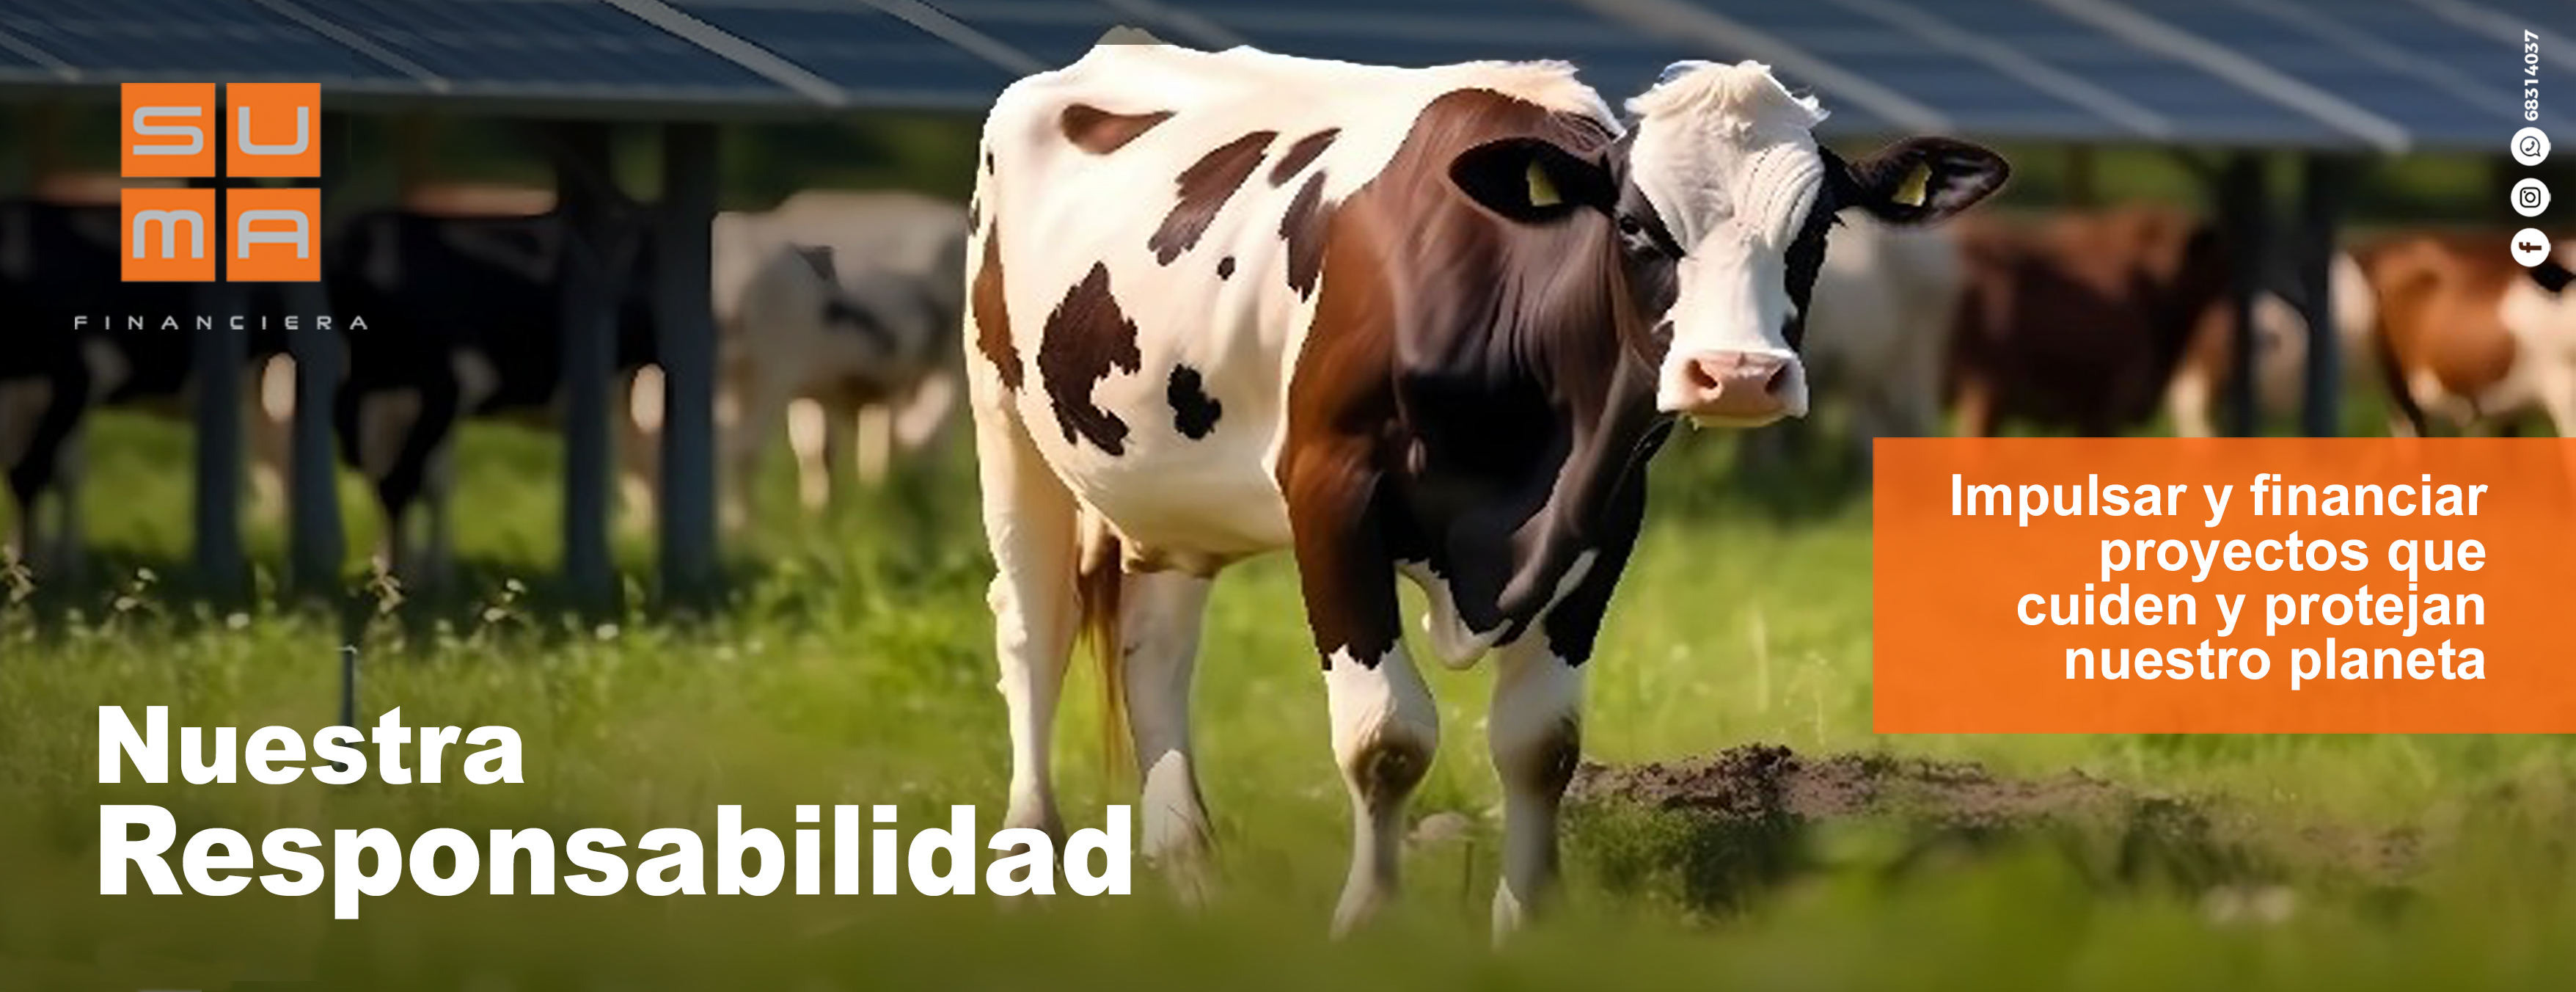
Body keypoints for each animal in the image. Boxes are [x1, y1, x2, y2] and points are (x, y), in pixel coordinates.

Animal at [968, 37, 2009, 938]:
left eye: (1817, 227)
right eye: (1633, 225)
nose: (1739, 374)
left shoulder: (1604, 512)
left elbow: (1540, 742)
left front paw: (1529, 921)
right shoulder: (1328, 491)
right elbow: (1385, 736)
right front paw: (1369, 921)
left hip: (1167, 487)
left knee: (1154, 644)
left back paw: (1191, 872)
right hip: (1004, 419)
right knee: (1033, 627)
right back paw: (1032, 860)